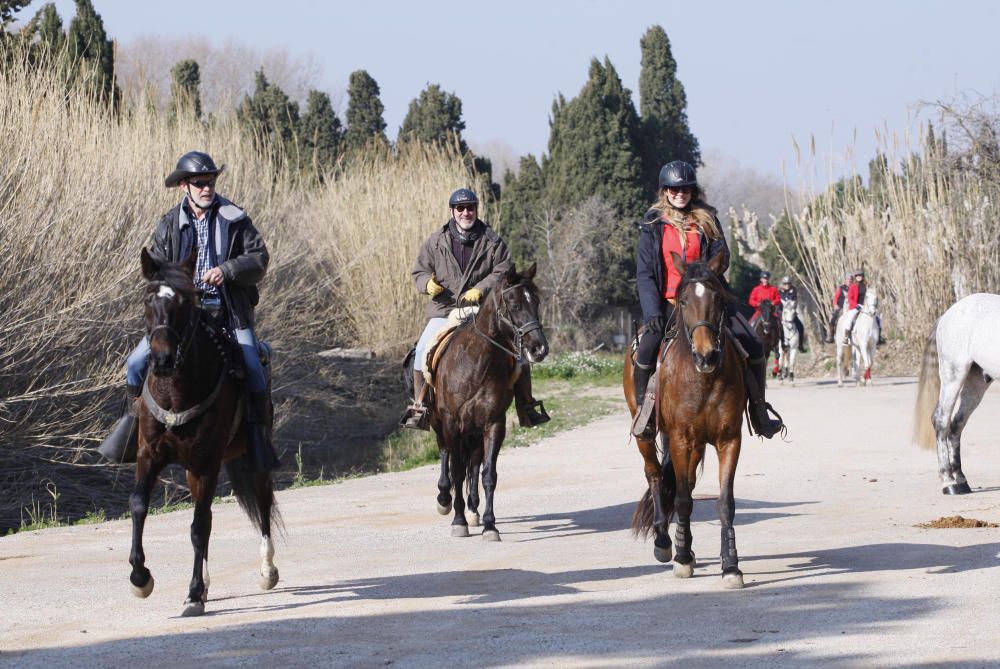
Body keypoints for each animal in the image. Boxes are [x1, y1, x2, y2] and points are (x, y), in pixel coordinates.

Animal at [128, 249, 282, 616]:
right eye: (147, 300)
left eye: (185, 303)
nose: (163, 360)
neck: (175, 392)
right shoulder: (148, 455)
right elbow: (139, 505)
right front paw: (141, 579)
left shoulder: (206, 461)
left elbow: (199, 526)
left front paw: (194, 594)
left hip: (249, 459)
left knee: (262, 501)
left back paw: (267, 570)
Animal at [430, 264, 548, 540]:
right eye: (515, 305)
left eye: (536, 302)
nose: (540, 349)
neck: (476, 364)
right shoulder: (452, 423)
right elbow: (456, 470)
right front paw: (458, 522)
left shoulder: (494, 423)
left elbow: (488, 474)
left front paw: (489, 524)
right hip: (441, 423)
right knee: (446, 455)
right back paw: (445, 500)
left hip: (473, 430)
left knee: (473, 464)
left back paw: (473, 509)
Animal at [624, 253, 752, 588]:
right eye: (683, 301)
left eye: (717, 298)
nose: (706, 356)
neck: (702, 379)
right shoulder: (682, 438)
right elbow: (681, 500)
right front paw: (681, 559)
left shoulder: (728, 439)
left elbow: (725, 502)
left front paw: (731, 566)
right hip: (649, 435)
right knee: (656, 475)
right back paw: (664, 542)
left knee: (688, 483)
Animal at [916, 294, 1000, 494]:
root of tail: (946, 315)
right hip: (953, 375)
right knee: (941, 420)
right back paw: (949, 482)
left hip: (975, 381)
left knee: (957, 424)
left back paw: (961, 479)